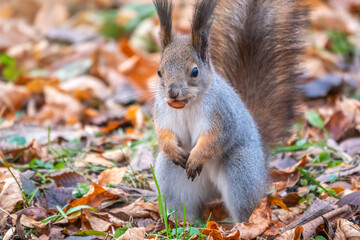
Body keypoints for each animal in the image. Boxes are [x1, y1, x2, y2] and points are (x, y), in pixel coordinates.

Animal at [152, 0, 306, 222]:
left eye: (195, 71)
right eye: (159, 71)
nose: (172, 93)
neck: (188, 105)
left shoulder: (222, 115)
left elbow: (216, 138)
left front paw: (196, 157)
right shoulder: (162, 112)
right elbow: (162, 133)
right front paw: (172, 148)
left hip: (240, 172)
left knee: (244, 207)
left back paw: (240, 225)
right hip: (170, 176)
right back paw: (184, 223)